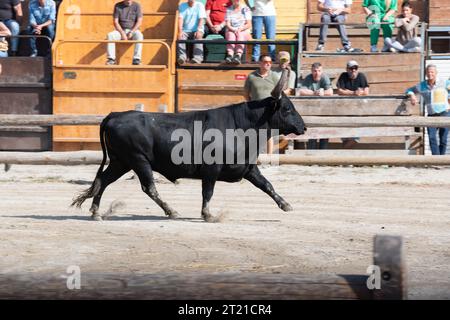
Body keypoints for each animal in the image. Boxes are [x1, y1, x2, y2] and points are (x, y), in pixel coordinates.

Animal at [73, 69, 306, 221]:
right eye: (287, 108)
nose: (303, 127)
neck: (240, 125)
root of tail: (115, 115)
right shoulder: (211, 169)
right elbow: (208, 192)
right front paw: (208, 214)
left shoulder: (248, 168)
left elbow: (267, 185)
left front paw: (285, 205)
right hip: (138, 160)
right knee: (149, 187)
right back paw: (171, 211)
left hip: (120, 162)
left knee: (103, 181)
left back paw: (96, 212)